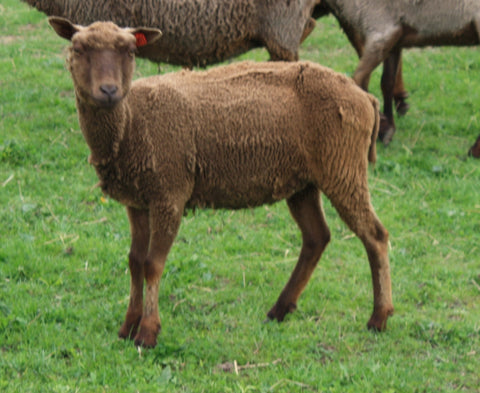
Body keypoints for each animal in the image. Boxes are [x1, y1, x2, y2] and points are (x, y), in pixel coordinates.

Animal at [48, 16, 394, 346]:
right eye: (77, 49)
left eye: (131, 51)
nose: (109, 91)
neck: (131, 120)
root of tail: (364, 97)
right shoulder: (137, 200)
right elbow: (134, 261)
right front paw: (127, 326)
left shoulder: (169, 194)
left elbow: (152, 264)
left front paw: (147, 333)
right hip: (303, 182)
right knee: (316, 238)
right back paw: (280, 310)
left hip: (343, 167)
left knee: (375, 236)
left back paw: (379, 318)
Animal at [314, 0, 480, 156]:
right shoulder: (393, 41)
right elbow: (386, 82)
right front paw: (387, 127)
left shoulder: (381, 33)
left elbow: (358, 80)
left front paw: (379, 128)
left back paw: (474, 151)